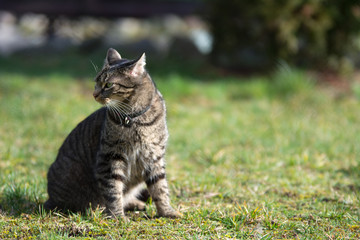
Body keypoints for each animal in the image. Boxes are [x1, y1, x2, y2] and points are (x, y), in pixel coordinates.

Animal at [44, 48, 180, 219]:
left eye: (108, 84)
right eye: (96, 82)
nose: (94, 94)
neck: (135, 118)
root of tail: (49, 198)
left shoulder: (154, 156)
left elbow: (160, 187)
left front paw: (167, 212)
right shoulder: (109, 157)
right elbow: (113, 190)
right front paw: (117, 217)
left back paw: (136, 204)